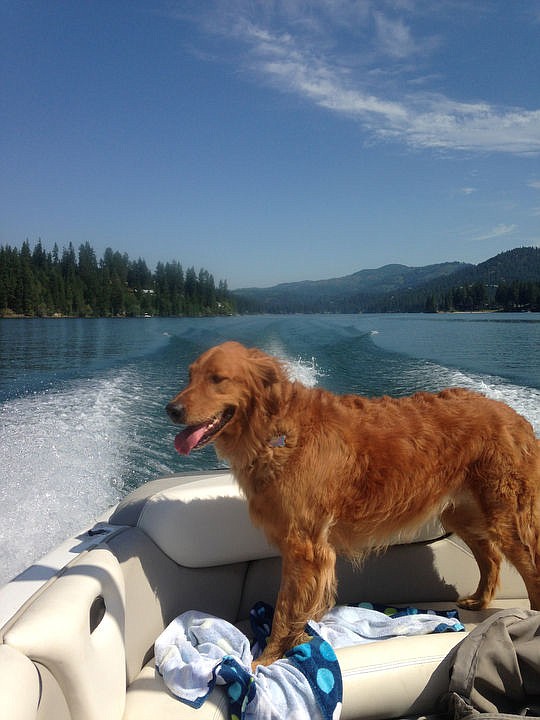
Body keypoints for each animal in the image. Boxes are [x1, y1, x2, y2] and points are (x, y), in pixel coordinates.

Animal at [167, 340, 540, 668]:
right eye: (189, 376)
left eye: (218, 378)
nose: (172, 409)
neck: (276, 431)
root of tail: (515, 417)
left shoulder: (304, 548)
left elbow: (285, 609)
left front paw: (267, 659)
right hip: (463, 513)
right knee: (490, 557)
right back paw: (479, 599)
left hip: (507, 514)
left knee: (530, 568)